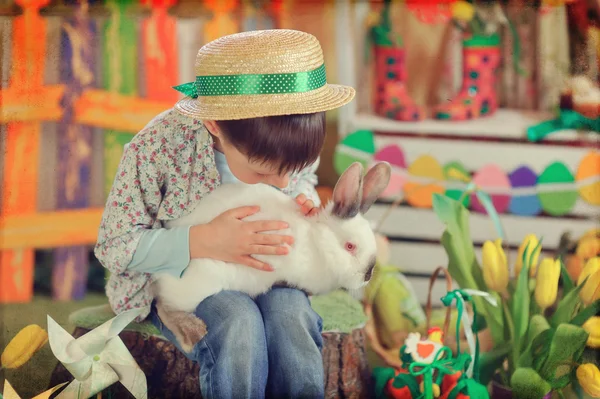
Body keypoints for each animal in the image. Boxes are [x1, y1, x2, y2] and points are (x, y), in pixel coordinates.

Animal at [152, 161, 392, 352]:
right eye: (350, 246)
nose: (367, 275)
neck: (315, 243)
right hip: (201, 281)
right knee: (164, 306)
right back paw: (192, 333)